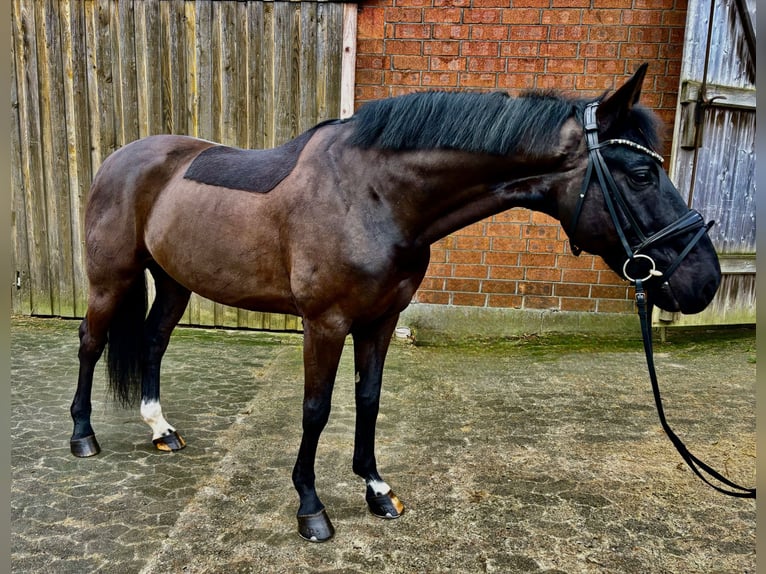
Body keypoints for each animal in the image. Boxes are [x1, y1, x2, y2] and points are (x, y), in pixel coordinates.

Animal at [70, 65, 720, 544]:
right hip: (111, 278)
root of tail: (121, 158)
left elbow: (369, 399)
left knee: (154, 341)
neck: (375, 194)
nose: (705, 280)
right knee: (90, 343)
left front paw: (377, 490)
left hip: (173, 281)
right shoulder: (325, 324)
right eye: (640, 173)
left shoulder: (380, 320)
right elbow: (316, 410)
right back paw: (82, 436)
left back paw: (161, 429)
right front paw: (311, 508)